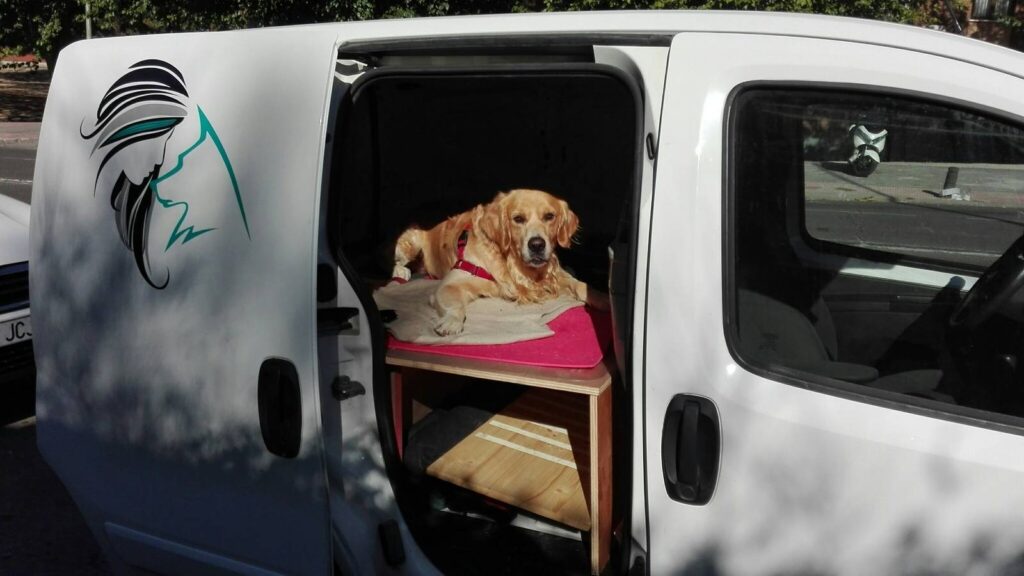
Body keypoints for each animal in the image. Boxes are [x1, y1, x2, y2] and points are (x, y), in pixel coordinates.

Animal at [392, 188, 606, 336]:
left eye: (549, 216)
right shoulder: (452, 283)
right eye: (518, 219)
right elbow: (455, 306)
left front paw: (600, 298)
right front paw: (452, 322)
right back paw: (401, 272)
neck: (513, 264)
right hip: (410, 240)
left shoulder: (553, 273)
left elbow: (579, 284)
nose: (537, 245)